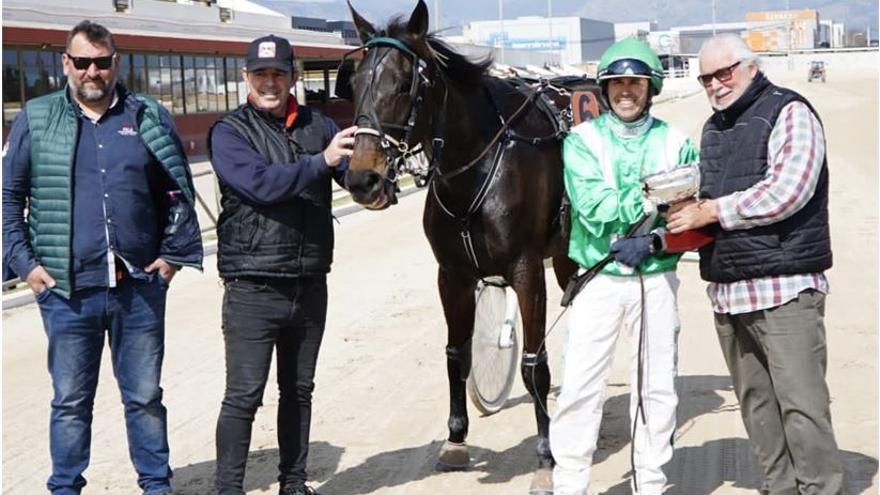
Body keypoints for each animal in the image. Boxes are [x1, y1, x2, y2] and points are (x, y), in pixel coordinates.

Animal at [344, 2, 584, 492]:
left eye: (404, 84)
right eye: (355, 83)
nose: (362, 179)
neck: (478, 166)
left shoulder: (527, 270)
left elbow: (534, 363)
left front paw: (546, 455)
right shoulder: (451, 274)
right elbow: (457, 354)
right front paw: (455, 440)